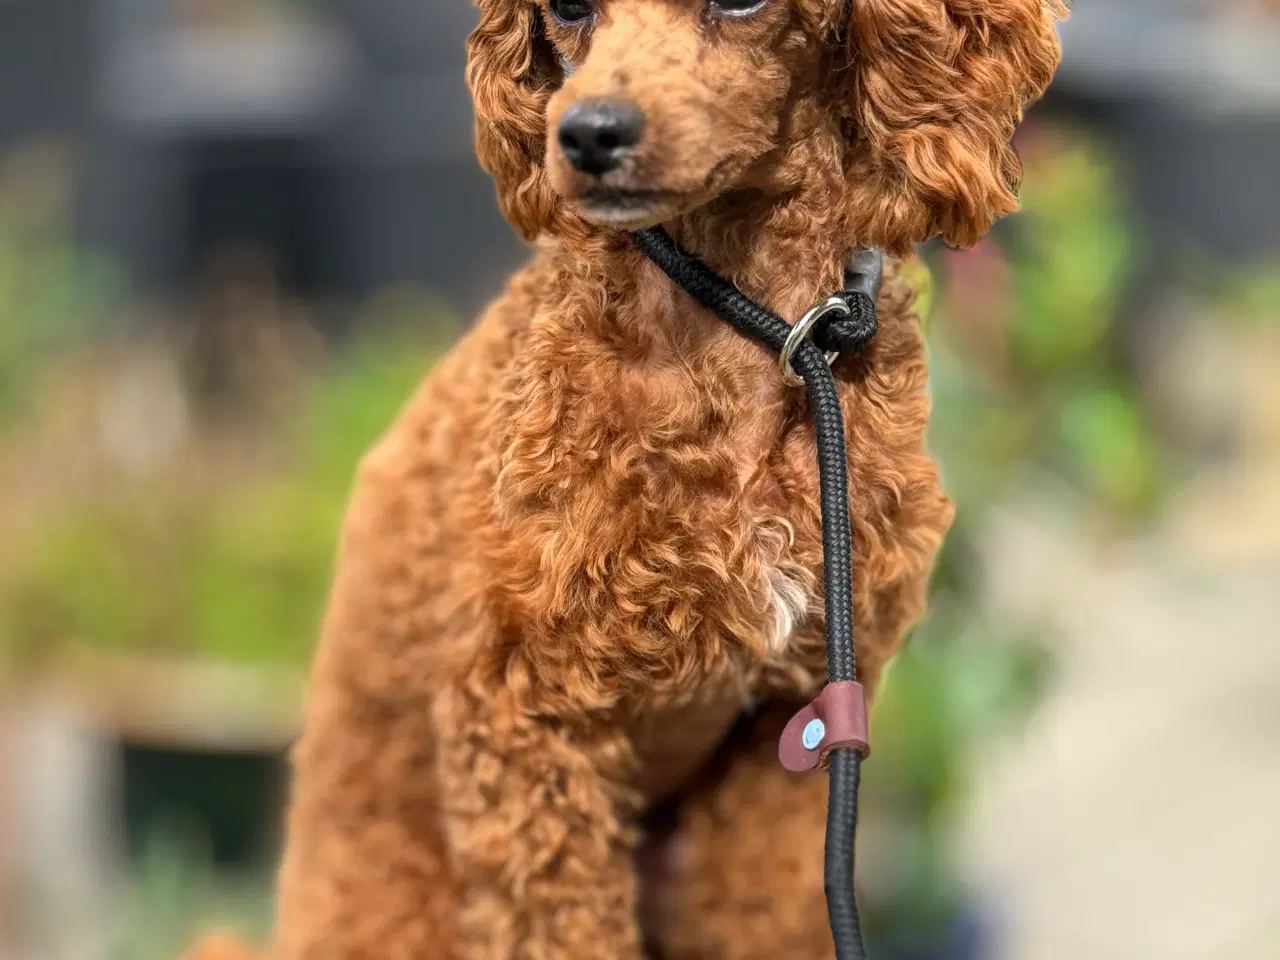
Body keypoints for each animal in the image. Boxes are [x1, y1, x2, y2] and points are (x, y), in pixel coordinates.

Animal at [185, 1, 1064, 960]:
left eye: (743, 4)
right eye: (567, 10)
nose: (587, 132)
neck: (752, 333)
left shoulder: (795, 730)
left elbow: (760, 909)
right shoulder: (528, 717)